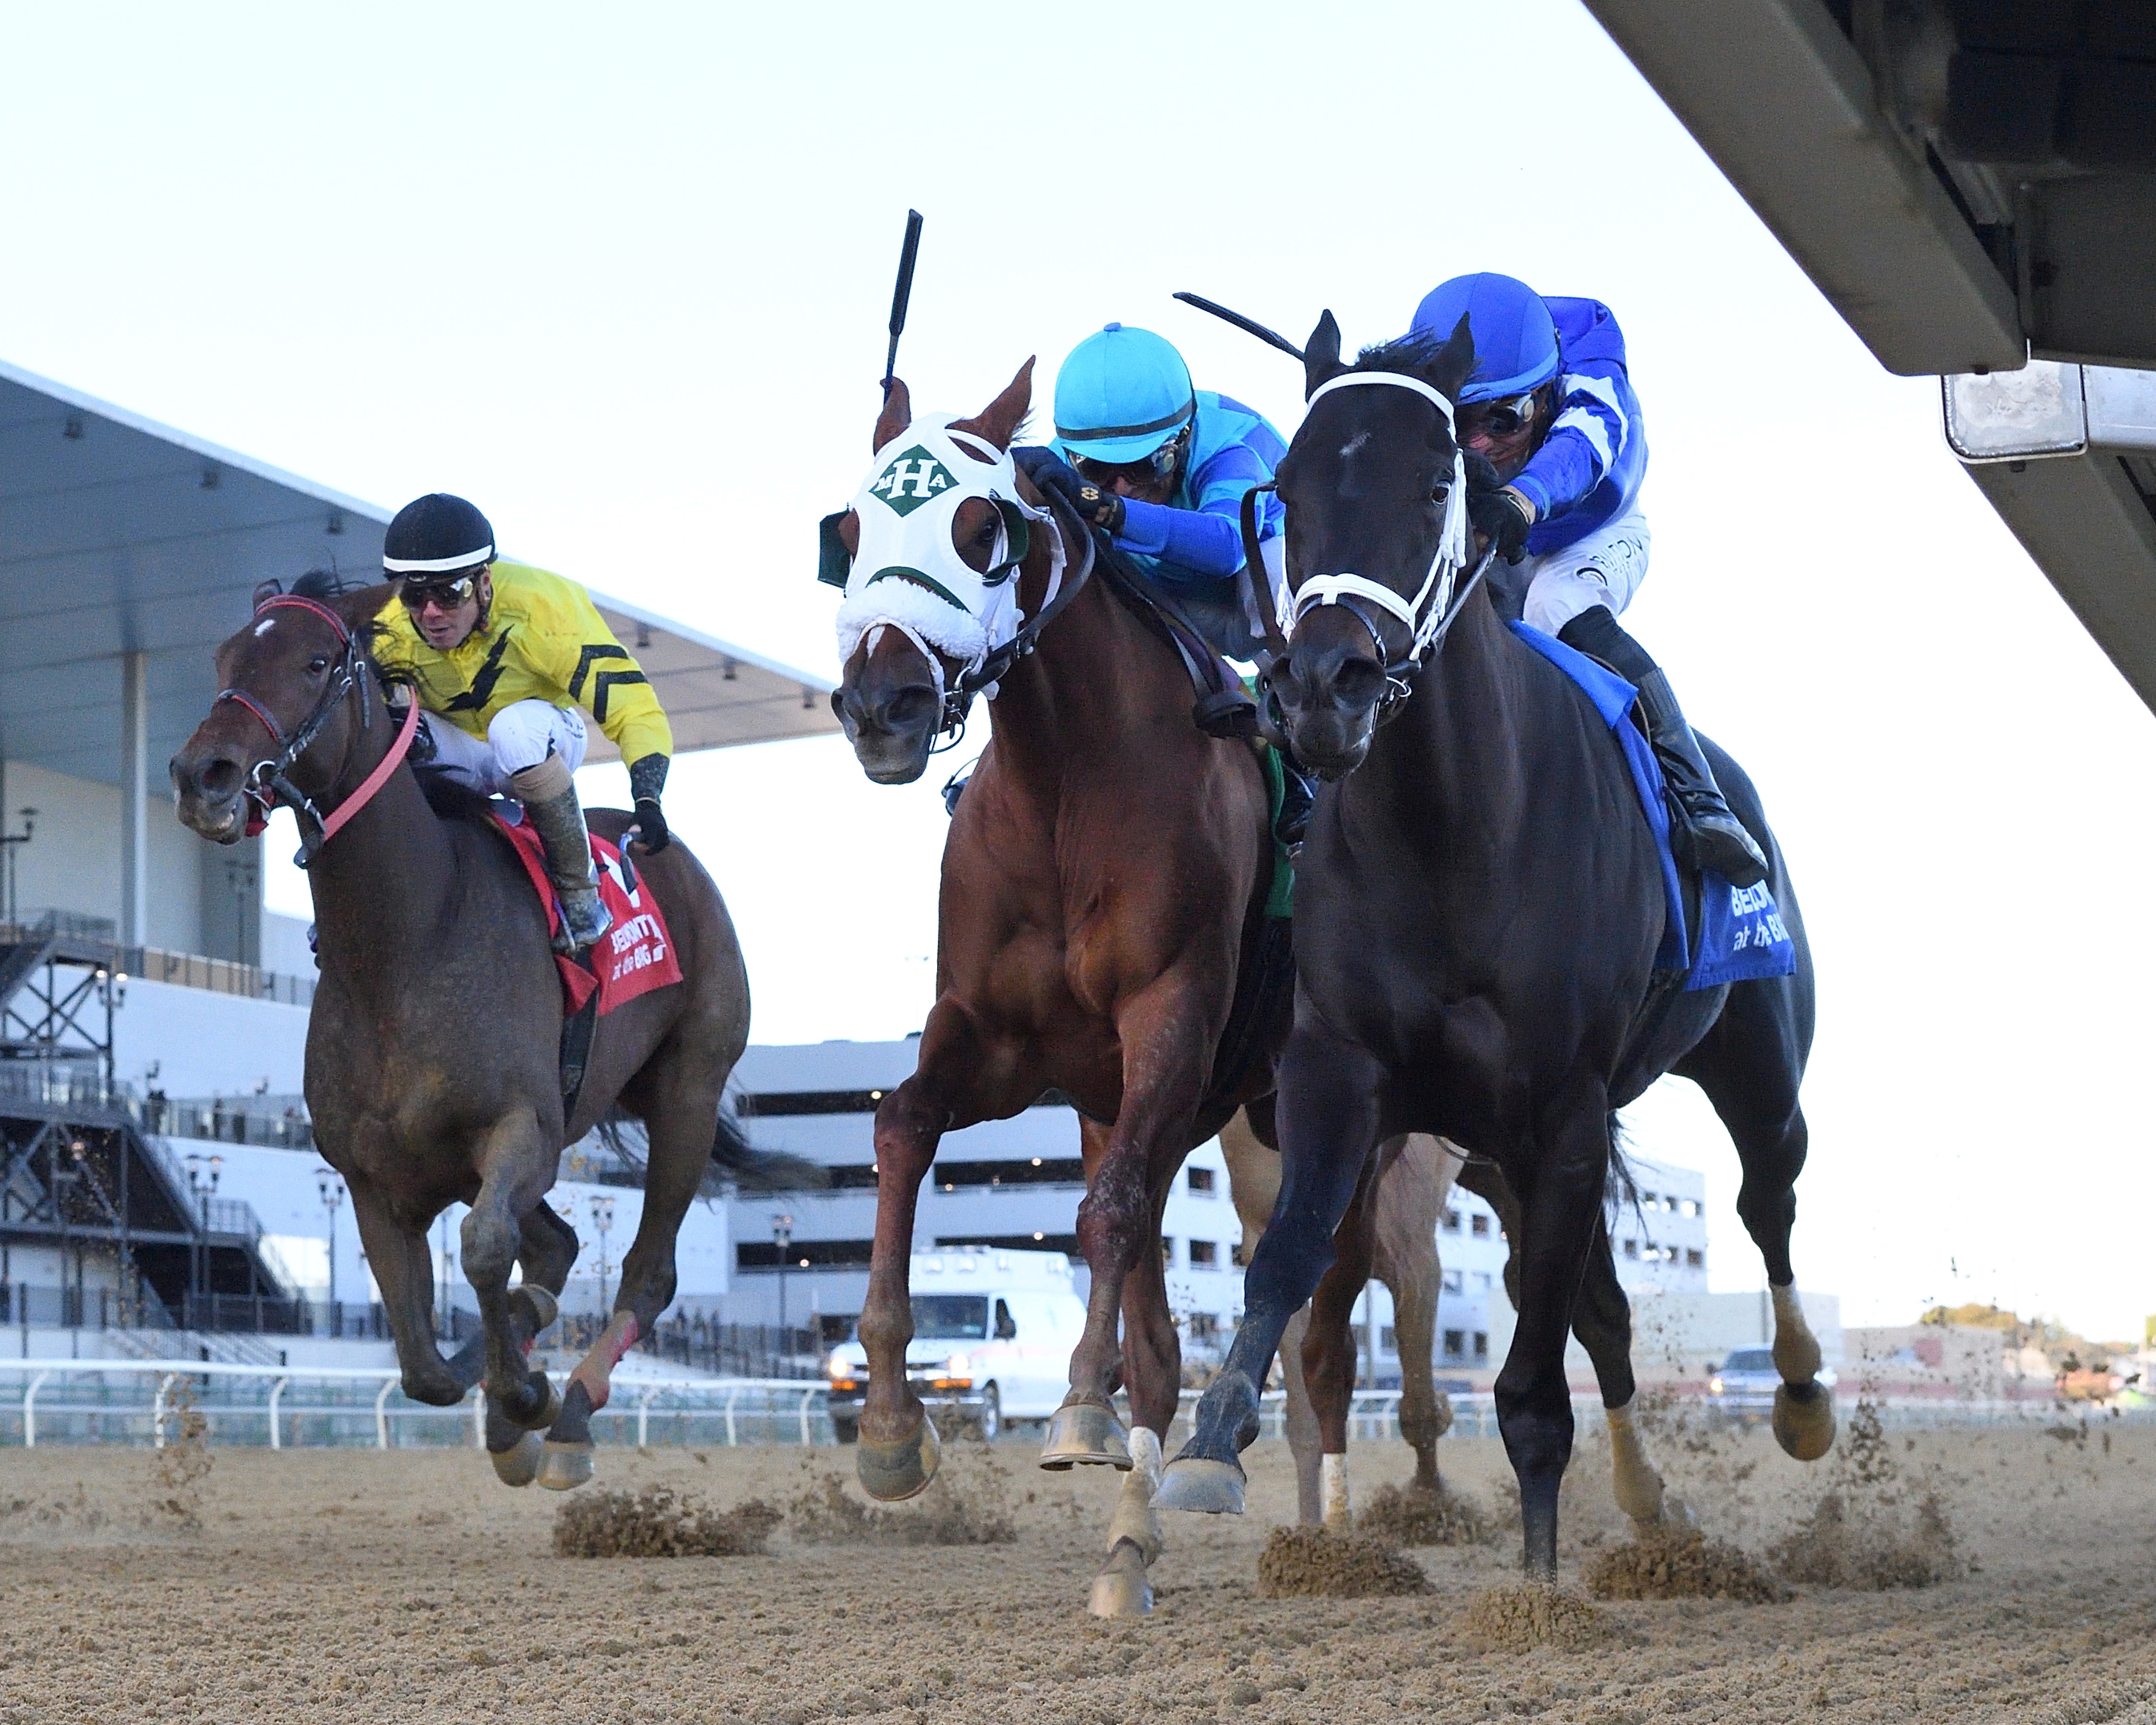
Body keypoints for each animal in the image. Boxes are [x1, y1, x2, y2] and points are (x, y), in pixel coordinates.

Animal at [166, 582, 750, 1492]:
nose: (204, 776)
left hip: (688, 1087)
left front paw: (524, 1390)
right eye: (224, 657)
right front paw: (507, 1381)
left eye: (313, 661)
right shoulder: (371, 1180)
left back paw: (568, 1416)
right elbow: (423, 1366)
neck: (407, 941)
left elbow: (480, 1248)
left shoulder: (523, 1129)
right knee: (559, 1243)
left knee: (646, 1271)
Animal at [819, 364, 1276, 1621]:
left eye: (982, 527)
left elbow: (1105, 1213)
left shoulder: (1171, 1015)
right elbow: (899, 1125)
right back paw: (1131, 1551)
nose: (880, 702)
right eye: (849, 531)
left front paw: (1077, 1406)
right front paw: (891, 1429)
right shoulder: (1002, 1039)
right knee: (1173, 1343)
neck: (1071, 779)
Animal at [1155, 319, 1828, 1578]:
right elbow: (1287, 1264)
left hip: (1751, 1062)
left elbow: (1528, 1396)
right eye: (1287, 490)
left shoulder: (1562, 1105)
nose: (1323, 686)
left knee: (1767, 1197)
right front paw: (1206, 1445)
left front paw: (1540, 1589)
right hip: (1513, 1150)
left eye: (1436, 483)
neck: (1449, 830)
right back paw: (1650, 1501)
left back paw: (1803, 1397)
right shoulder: (1338, 1076)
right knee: (1606, 1304)